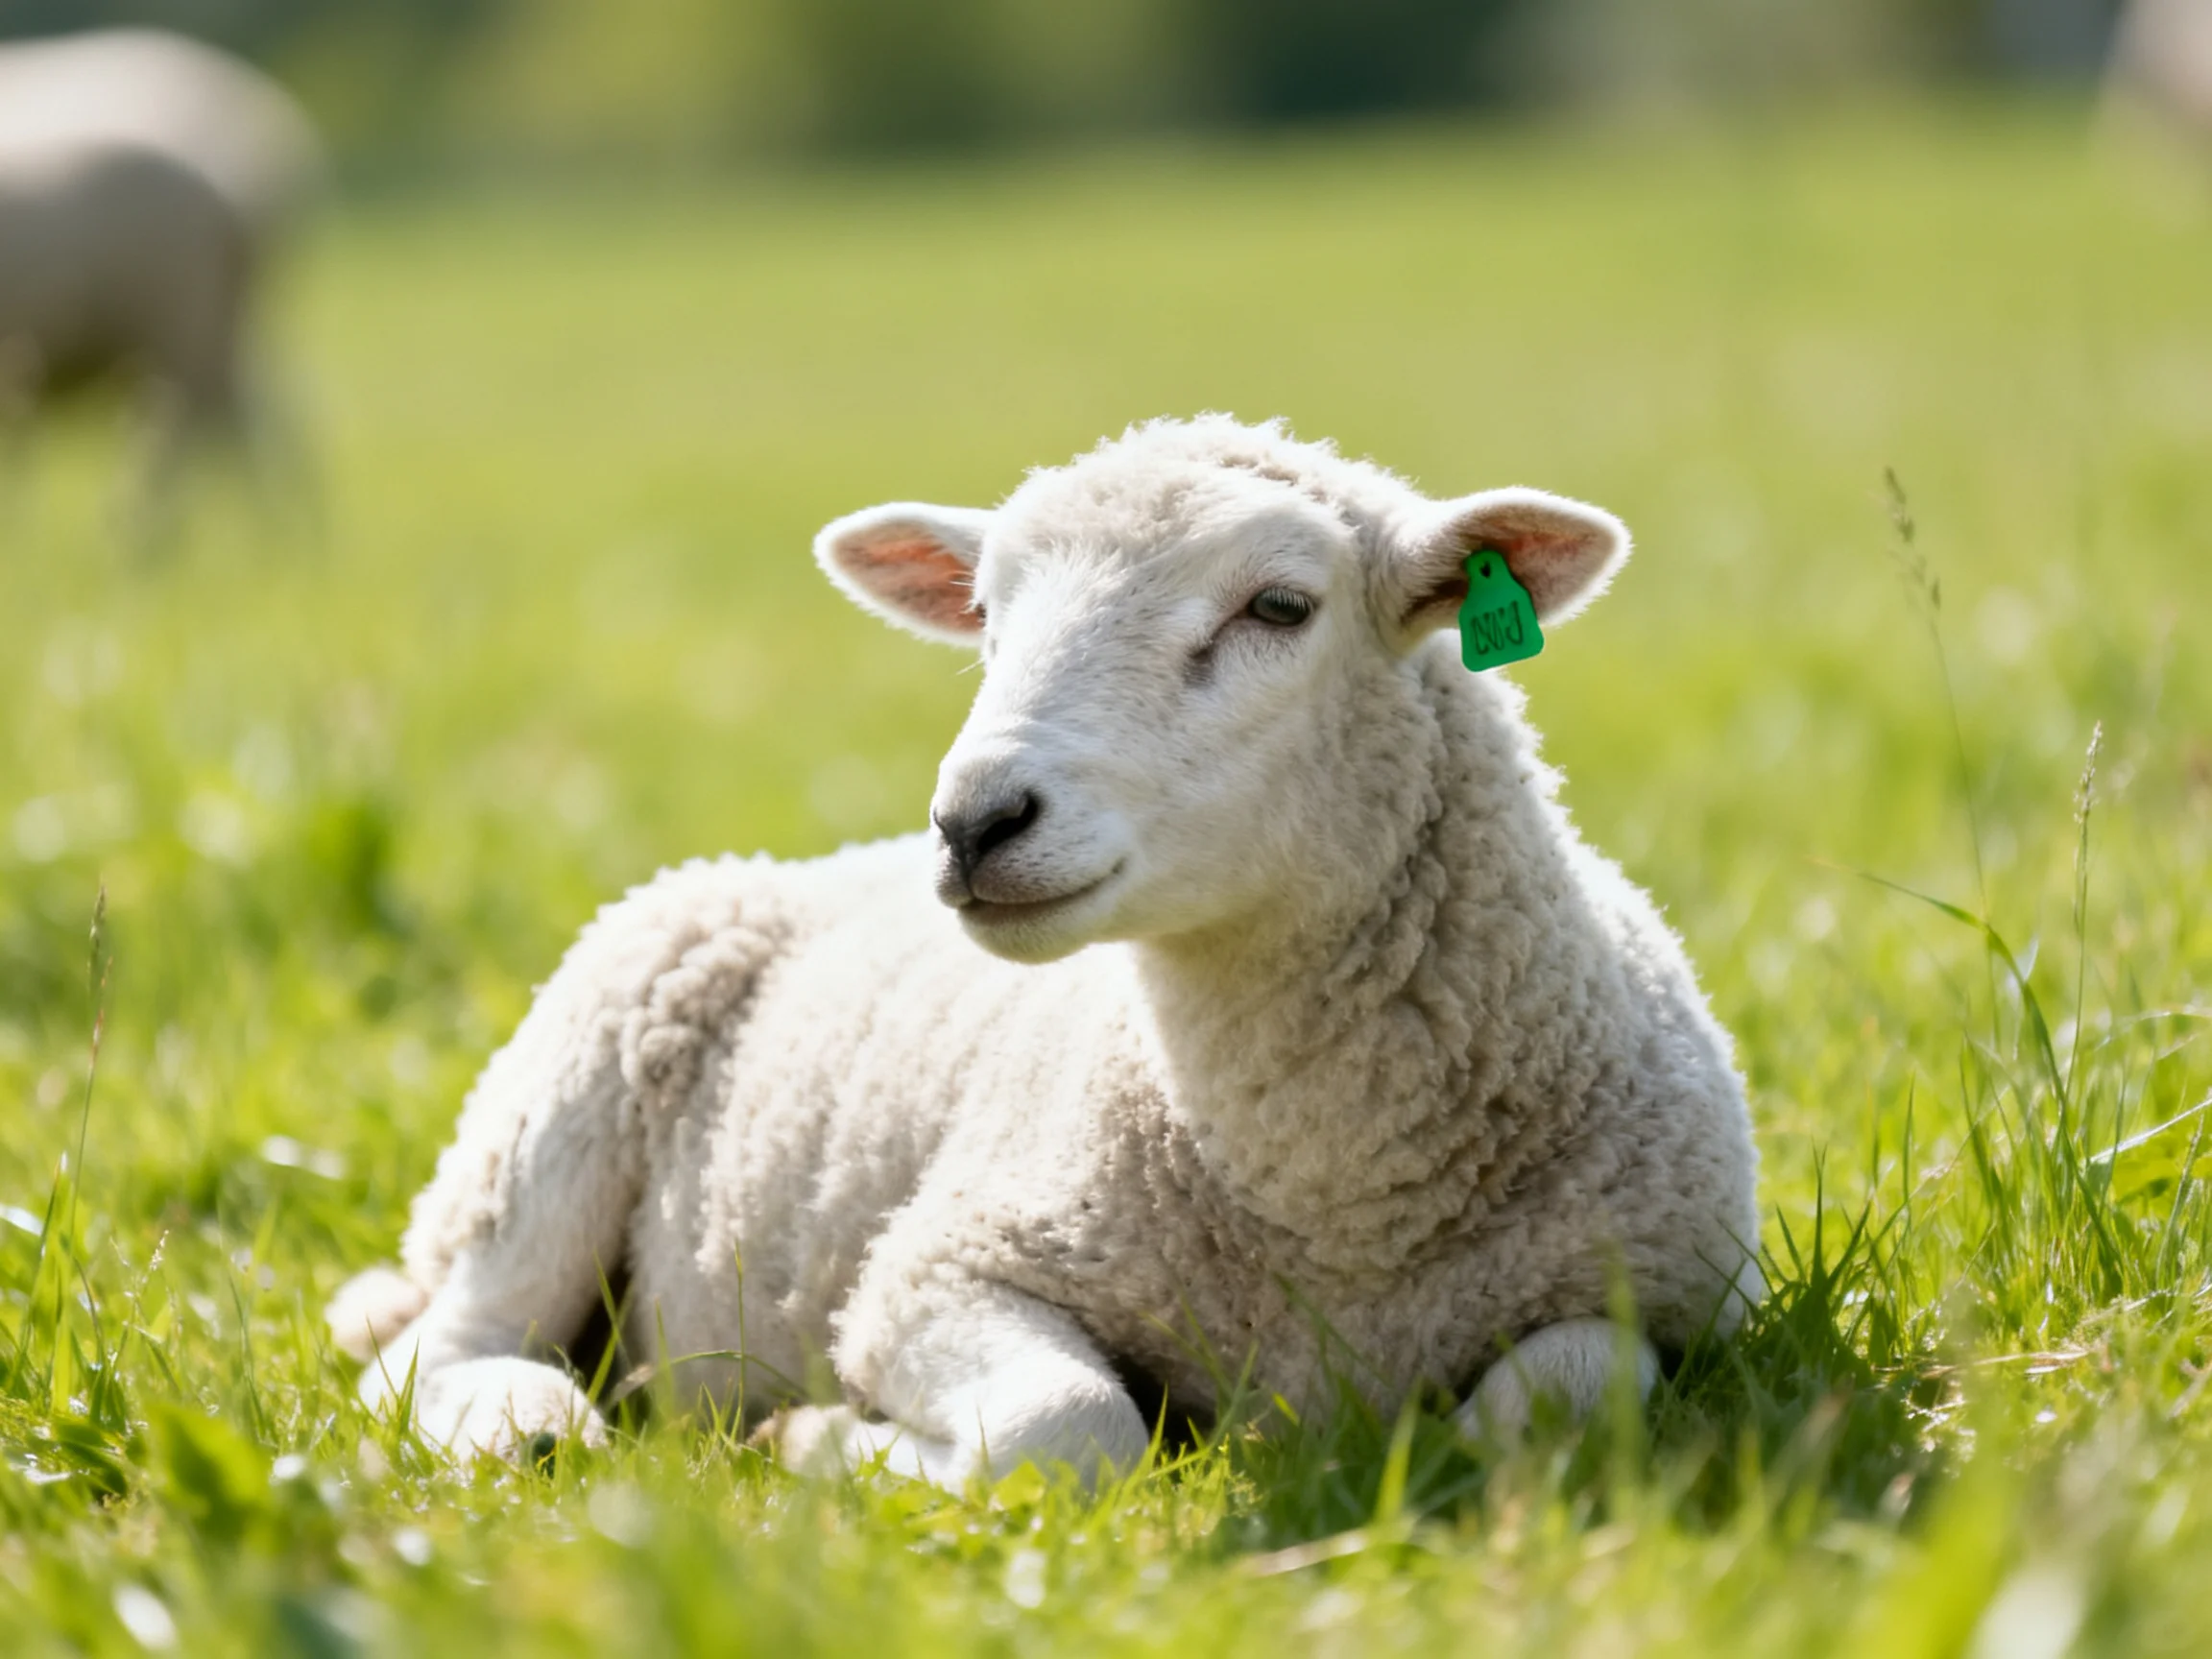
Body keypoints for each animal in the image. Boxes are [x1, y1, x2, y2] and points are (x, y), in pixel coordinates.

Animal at [328, 415, 1763, 1485]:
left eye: (1280, 605)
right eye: (983, 613)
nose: (973, 821)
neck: (1339, 1213)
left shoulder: (1676, 1301)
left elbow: (1556, 1408)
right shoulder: (934, 1268)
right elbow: (1066, 1429)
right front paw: (826, 1440)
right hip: (555, 1111)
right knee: (436, 1348)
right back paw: (525, 1425)